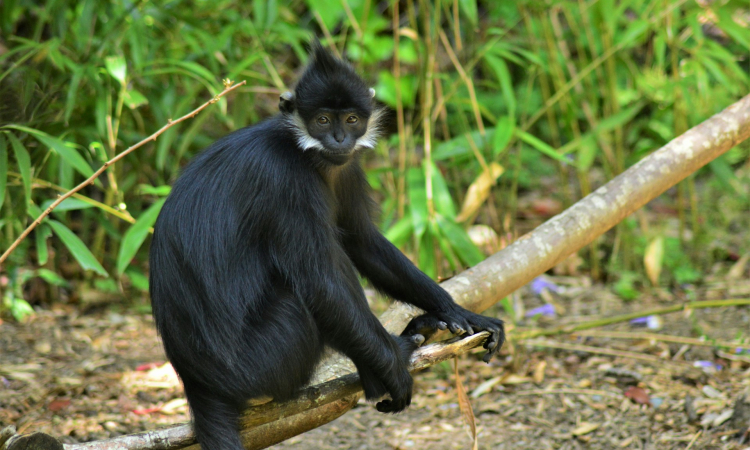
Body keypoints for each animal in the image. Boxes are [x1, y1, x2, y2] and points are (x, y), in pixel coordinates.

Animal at [149, 40, 504, 450]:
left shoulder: (345, 166)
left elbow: (362, 240)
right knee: (306, 291)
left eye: (350, 119)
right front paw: (394, 369)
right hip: (263, 361)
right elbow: (321, 284)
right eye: (321, 120)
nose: (339, 139)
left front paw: (456, 310)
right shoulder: (286, 182)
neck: (304, 151)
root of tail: (199, 385)